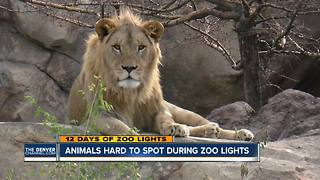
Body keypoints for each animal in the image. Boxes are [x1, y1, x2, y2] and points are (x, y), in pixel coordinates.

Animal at [69, 8, 254, 141]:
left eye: (141, 47)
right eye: (116, 47)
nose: (129, 68)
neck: (130, 93)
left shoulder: (158, 109)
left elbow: (165, 120)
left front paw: (175, 128)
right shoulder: (98, 115)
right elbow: (124, 130)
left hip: (182, 111)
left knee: (207, 125)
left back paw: (237, 133)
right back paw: (210, 131)